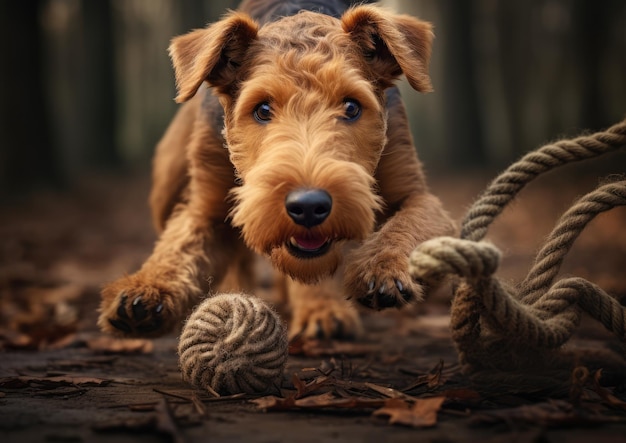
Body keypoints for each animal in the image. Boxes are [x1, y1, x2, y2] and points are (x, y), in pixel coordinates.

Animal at [100, 0, 456, 340]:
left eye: (352, 106)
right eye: (263, 109)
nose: (309, 206)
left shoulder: (416, 194)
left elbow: (409, 225)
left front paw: (381, 270)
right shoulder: (206, 210)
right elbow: (180, 249)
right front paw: (145, 293)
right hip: (168, 186)